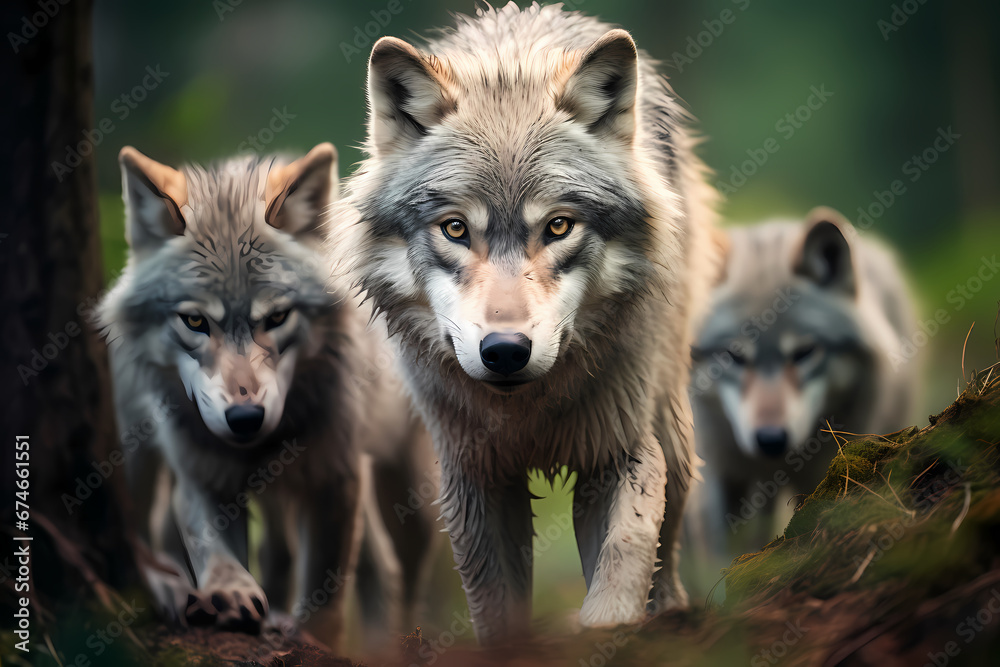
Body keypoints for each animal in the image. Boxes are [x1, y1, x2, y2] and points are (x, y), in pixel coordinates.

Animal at [98, 144, 436, 651]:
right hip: (137, 461)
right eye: (195, 322)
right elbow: (210, 546)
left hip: (409, 489)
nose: (244, 416)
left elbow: (326, 590)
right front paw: (230, 592)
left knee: (390, 566)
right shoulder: (202, 474)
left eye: (277, 317)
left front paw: (313, 637)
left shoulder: (336, 476)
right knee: (153, 531)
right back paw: (175, 592)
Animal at [335, 2, 718, 643]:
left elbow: (628, 548)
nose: (506, 350)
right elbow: (496, 608)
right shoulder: (474, 478)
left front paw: (611, 628)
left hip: (671, 423)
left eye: (558, 226)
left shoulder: (618, 452)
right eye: (455, 228)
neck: (527, 413)